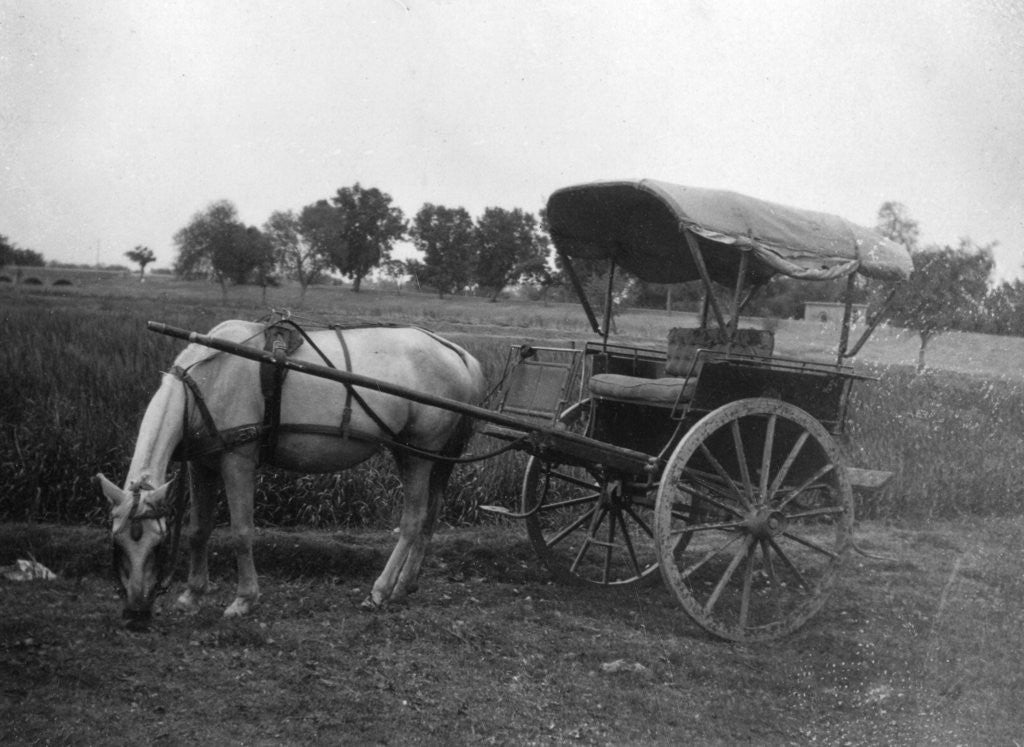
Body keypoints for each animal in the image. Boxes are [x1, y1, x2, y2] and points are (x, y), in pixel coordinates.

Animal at [96, 319, 485, 629]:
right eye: (117, 542)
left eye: (157, 544)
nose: (134, 616)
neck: (207, 380)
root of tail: (455, 351)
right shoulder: (202, 463)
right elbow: (198, 530)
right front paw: (192, 595)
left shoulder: (238, 460)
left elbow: (241, 532)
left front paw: (243, 600)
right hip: (425, 456)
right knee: (429, 516)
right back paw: (405, 586)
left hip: (418, 453)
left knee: (413, 521)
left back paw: (380, 590)